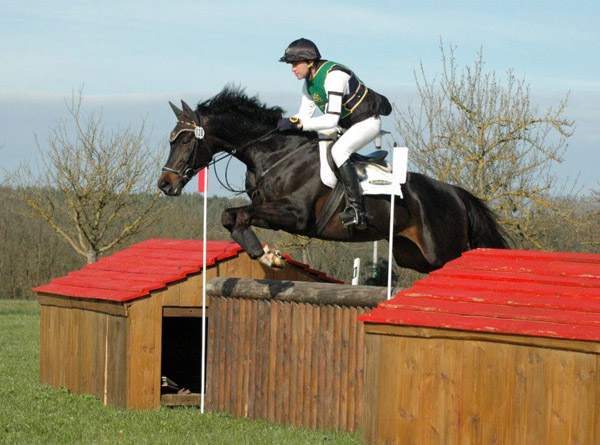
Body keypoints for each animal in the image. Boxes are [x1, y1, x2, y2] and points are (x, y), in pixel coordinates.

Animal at [157, 86, 508, 272]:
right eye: (171, 139)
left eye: (185, 140)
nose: (165, 184)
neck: (274, 152)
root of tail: (454, 193)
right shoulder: (272, 213)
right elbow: (231, 216)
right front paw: (267, 254)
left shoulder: (295, 215)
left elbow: (238, 215)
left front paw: (267, 256)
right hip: (413, 255)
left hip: (442, 251)